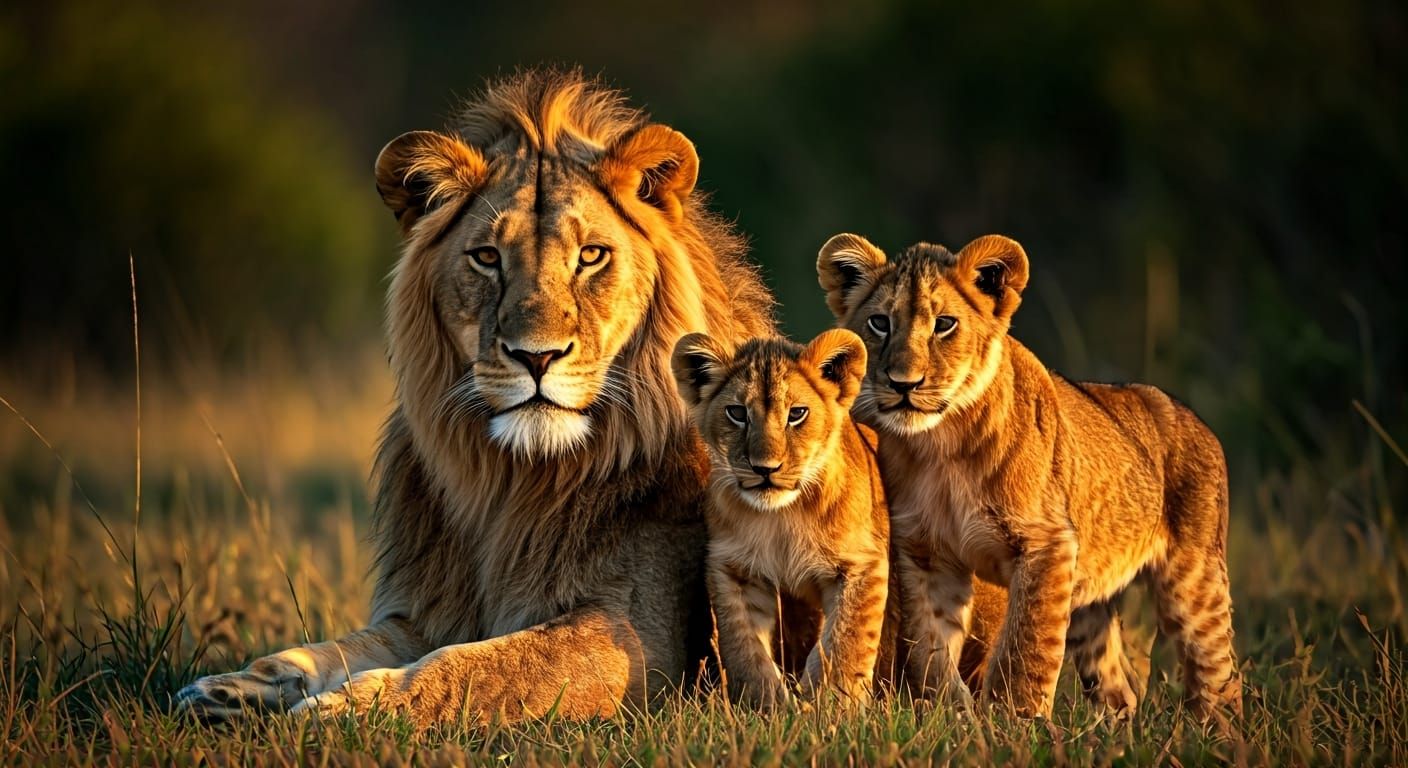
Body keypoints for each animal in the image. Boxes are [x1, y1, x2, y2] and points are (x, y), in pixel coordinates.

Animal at [174, 69, 777, 727]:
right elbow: (326, 649)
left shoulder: (643, 638)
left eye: (591, 255)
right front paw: (232, 687)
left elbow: (478, 668)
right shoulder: (431, 609)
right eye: (487, 257)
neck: (514, 483)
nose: (536, 356)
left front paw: (347, 707)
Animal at [817, 233, 1241, 723]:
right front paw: (949, 711)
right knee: (1118, 685)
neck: (940, 446)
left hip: (1192, 580)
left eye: (944, 324)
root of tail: (1197, 420)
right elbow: (929, 646)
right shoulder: (926, 553)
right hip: (1089, 604)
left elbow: (1025, 646)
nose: (904, 383)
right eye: (880, 323)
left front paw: (1013, 719)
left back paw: (1217, 729)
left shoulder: (1047, 544)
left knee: (1220, 671)